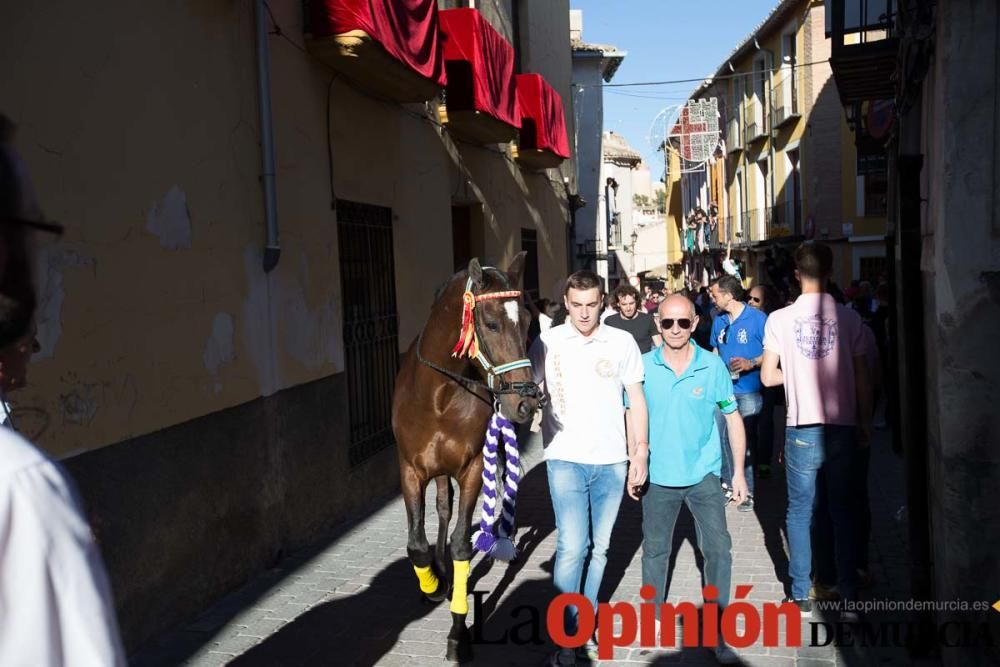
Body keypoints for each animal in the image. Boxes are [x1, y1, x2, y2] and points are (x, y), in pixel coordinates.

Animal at [392, 254, 544, 664]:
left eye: (528, 321)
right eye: (490, 323)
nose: (527, 401)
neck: (438, 396)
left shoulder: (473, 468)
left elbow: (462, 541)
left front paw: (458, 634)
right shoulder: (410, 470)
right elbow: (416, 544)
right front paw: (432, 583)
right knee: (443, 508)